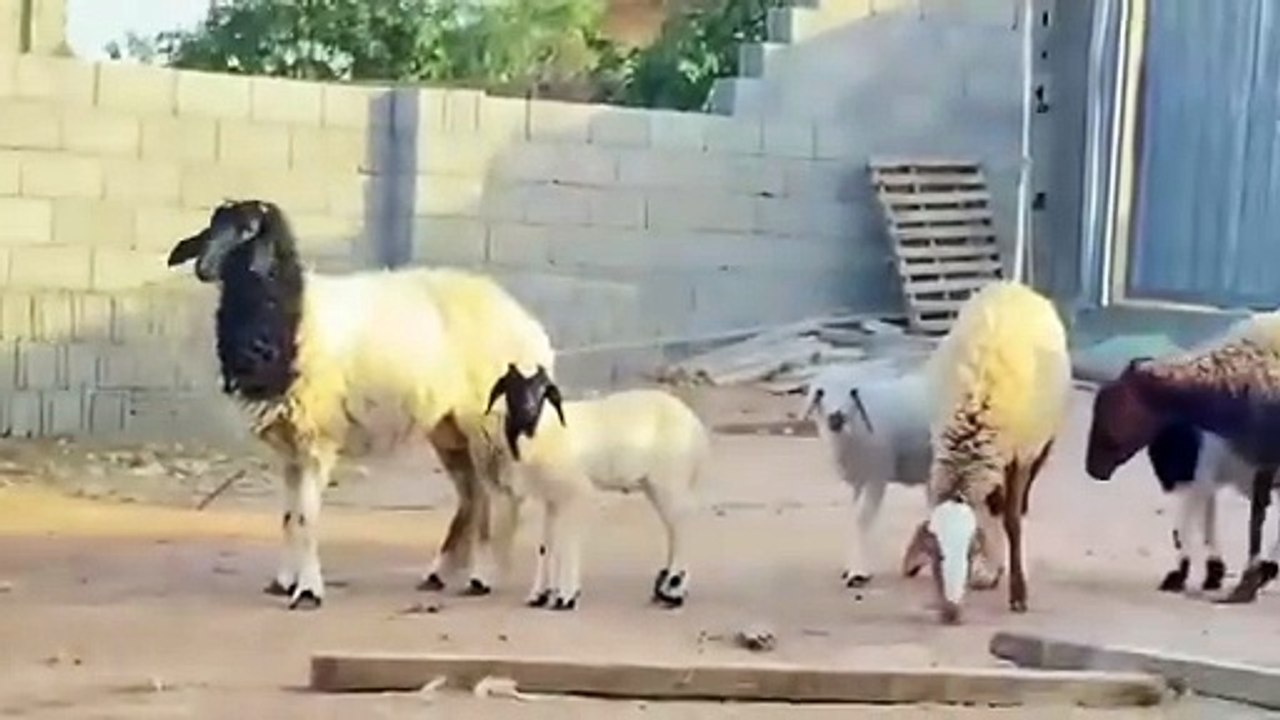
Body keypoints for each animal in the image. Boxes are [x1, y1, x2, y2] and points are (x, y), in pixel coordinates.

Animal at [165, 199, 554, 610]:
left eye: (248, 230)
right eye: (212, 227)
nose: (204, 267)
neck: (289, 318)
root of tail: (528, 323)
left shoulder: (317, 438)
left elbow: (306, 518)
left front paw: (308, 590)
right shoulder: (289, 444)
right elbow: (288, 516)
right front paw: (284, 581)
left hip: (489, 422)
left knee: (504, 497)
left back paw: (484, 577)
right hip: (449, 426)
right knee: (474, 495)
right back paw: (440, 573)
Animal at [483, 363, 710, 611]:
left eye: (543, 391)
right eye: (512, 385)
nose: (528, 410)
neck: (545, 430)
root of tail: (697, 429)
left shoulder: (577, 492)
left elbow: (567, 541)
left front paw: (566, 597)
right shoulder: (552, 498)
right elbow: (545, 545)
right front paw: (538, 595)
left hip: (670, 480)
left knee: (683, 528)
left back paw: (674, 591)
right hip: (655, 484)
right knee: (674, 529)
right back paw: (665, 588)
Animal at [801, 361, 933, 588]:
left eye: (853, 392)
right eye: (820, 392)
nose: (836, 418)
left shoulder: (876, 475)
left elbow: (863, 518)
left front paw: (858, 573)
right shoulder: (859, 479)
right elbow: (855, 516)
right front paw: (851, 569)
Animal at [900, 281, 1072, 624]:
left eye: (969, 553)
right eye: (936, 553)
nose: (951, 611)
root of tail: (1013, 285)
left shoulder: (1019, 456)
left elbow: (1012, 522)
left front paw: (1018, 594)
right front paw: (991, 571)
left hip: (1042, 443)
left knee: (1012, 505)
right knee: (994, 504)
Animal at [1086, 310, 1280, 603]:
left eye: (1113, 403)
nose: (1093, 468)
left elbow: (1248, 520)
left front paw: (1241, 583)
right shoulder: (1208, 474)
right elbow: (1205, 520)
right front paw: (1214, 573)